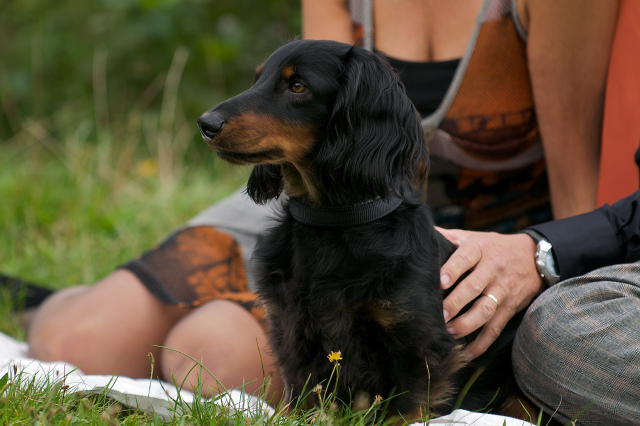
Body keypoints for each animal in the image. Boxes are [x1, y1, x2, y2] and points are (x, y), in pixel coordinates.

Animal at [199, 39, 528, 420]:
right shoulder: (291, 331)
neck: (334, 222)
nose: (206, 124)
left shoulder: (416, 343)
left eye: (297, 86)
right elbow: (301, 401)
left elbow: (402, 411)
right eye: (257, 79)